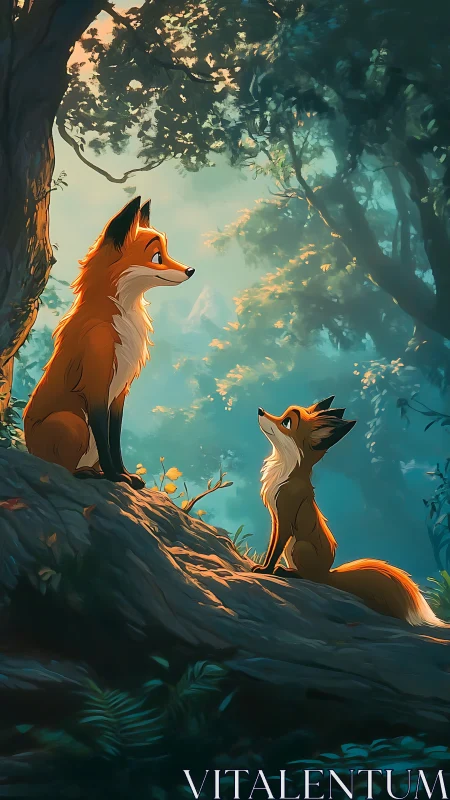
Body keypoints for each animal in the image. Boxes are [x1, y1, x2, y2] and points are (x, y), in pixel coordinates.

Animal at [24, 196, 194, 489]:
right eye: (157, 257)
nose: (191, 270)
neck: (119, 317)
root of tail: (28, 447)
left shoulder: (120, 392)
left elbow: (115, 440)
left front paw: (124, 474)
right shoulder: (97, 385)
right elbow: (104, 441)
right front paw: (116, 477)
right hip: (72, 423)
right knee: (60, 466)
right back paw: (86, 473)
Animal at [254, 396, 449, 627]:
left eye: (287, 422)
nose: (260, 410)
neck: (286, 473)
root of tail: (329, 573)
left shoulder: (285, 518)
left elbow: (274, 550)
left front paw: (265, 570)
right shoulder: (275, 519)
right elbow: (271, 546)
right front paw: (263, 566)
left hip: (300, 547)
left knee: (310, 578)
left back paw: (287, 573)